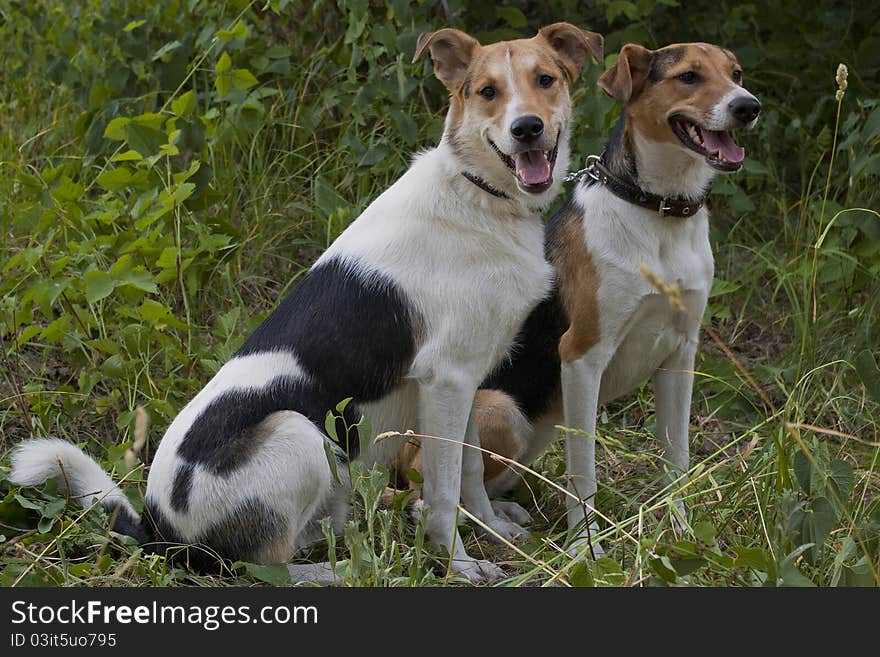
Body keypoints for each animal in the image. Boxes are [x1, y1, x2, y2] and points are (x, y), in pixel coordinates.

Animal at [12, 23, 604, 580]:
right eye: (486, 92)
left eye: (545, 80)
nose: (526, 129)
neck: (478, 192)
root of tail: (161, 532)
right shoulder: (447, 379)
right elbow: (442, 492)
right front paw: (459, 564)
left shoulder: (463, 380)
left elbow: (470, 473)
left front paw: (493, 531)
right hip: (299, 433)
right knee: (262, 567)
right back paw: (340, 571)